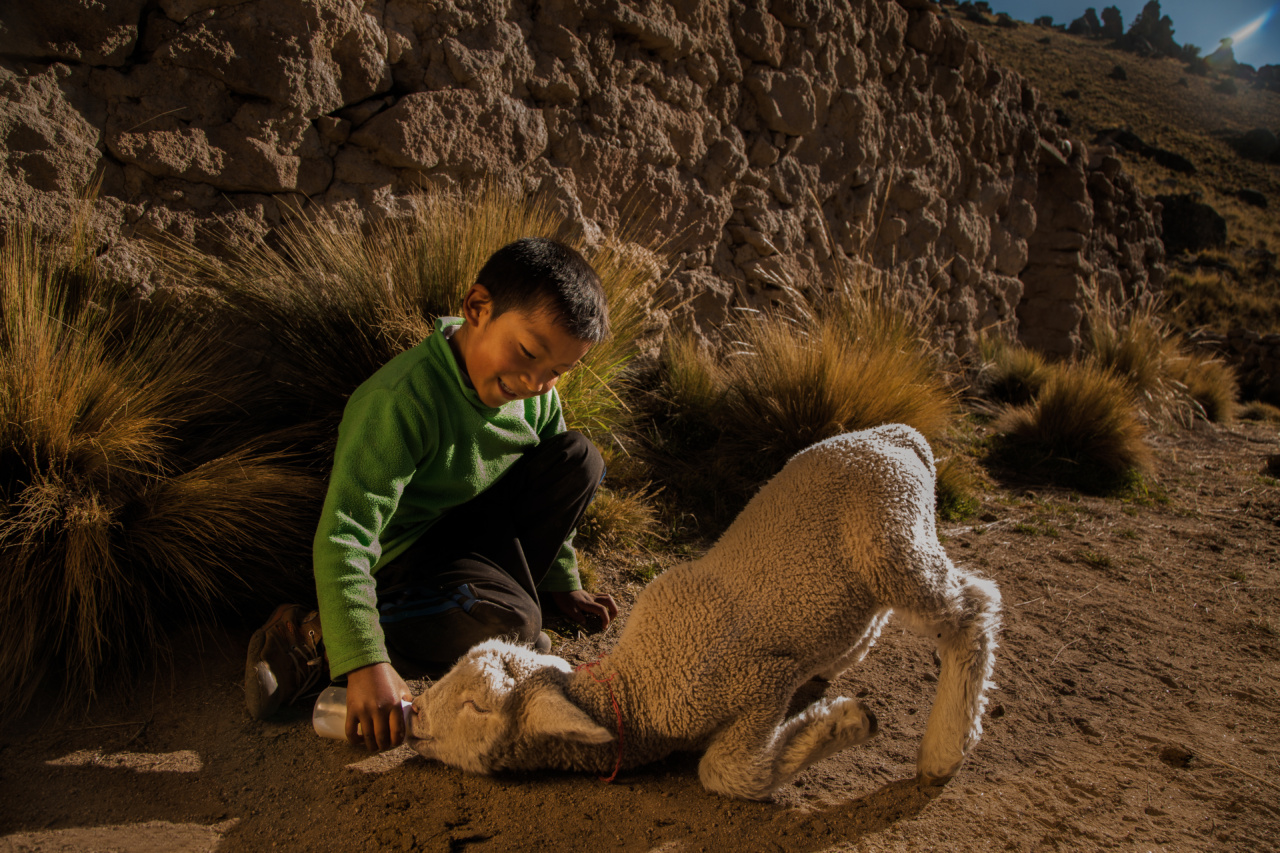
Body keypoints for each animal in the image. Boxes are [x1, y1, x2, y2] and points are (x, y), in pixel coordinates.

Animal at [407, 422, 998, 799]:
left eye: (477, 708)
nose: (412, 716)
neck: (636, 691)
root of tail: (900, 435)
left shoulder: (761, 683)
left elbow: (728, 773)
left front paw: (845, 724)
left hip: (894, 537)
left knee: (974, 607)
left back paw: (945, 750)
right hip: (877, 557)